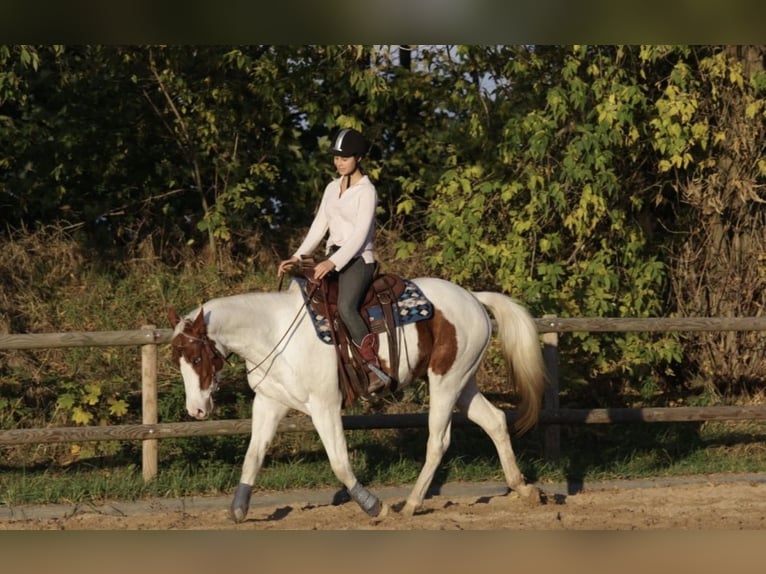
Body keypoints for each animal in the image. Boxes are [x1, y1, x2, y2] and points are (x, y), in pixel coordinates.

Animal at [167, 276, 546, 522]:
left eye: (197, 359)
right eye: (177, 361)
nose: (196, 410)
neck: (274, 334)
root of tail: (473, 297)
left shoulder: (324, 406)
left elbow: (339, 462)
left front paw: (373, 505)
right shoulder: (269, 403)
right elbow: (253, 457)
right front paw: (239, 509)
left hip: (446, 382)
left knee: (439, 441)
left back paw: (410, 504)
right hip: (463, 381)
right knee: (495, 421)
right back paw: (524, 489)